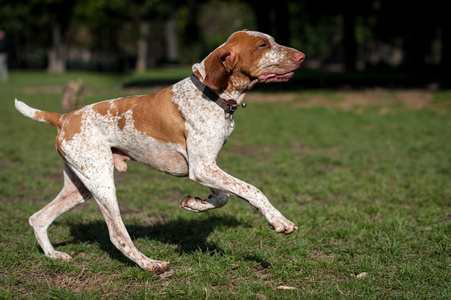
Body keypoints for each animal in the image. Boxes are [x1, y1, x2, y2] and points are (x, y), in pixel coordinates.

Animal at [17, 29, 308, 272]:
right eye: (262, 45)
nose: (302, 56)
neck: (213, 95)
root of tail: (64, 117)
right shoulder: (202, 168)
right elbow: (252, 189)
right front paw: (279, 220)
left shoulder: (204, 167)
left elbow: (223, 196)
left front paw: (195, 204)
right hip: (101, 182)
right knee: (117, 235)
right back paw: (149, 264)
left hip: (80, 186)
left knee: (38, 218)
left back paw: (54, 256)